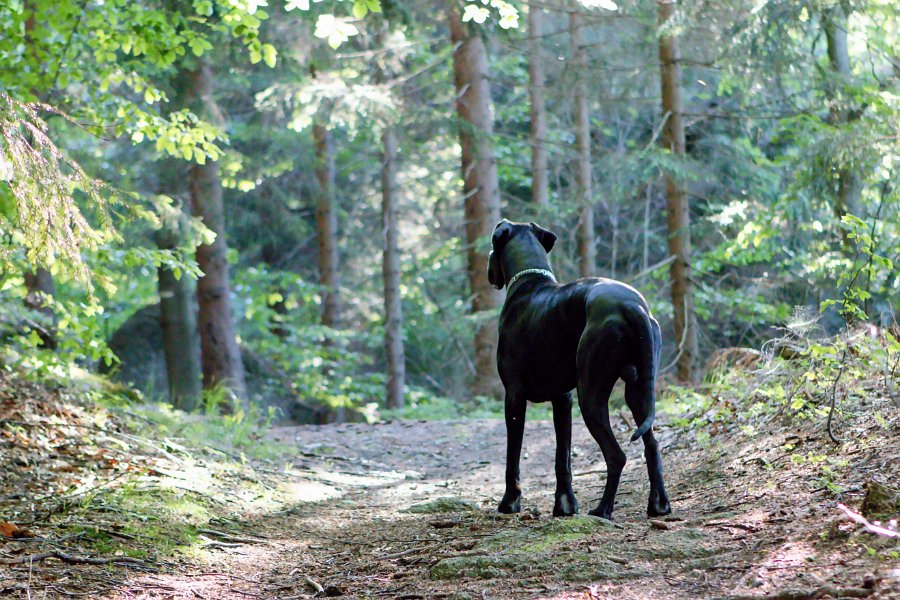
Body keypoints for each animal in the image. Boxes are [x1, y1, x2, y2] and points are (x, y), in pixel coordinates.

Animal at [488, 218, 672, 516]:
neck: (530, 281)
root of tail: (633, 307)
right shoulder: (563, 399)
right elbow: (563, 457)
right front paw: (565, 504)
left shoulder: (514, 397)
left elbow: (512, 457)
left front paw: (510, 501)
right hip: (639, 392)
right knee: (652, 446)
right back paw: (659, 504)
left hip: (591, 395)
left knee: (616, 455)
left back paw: (603, 509)